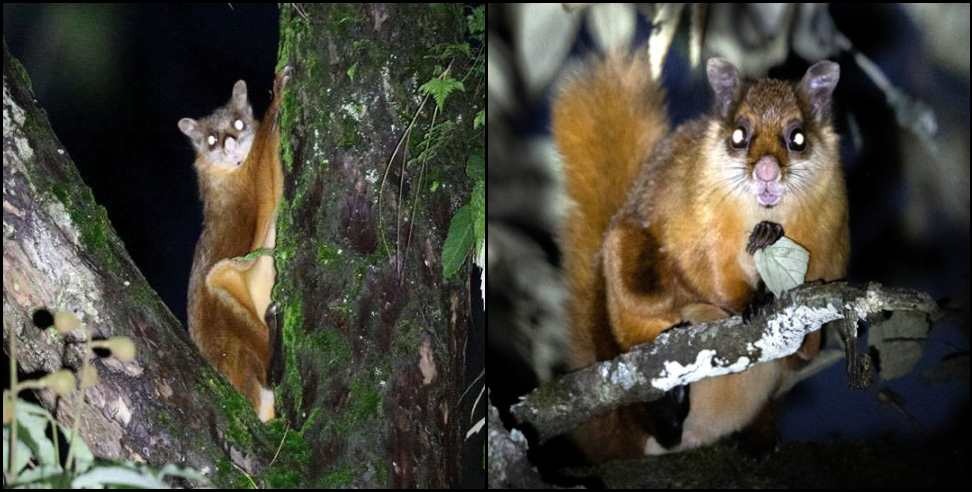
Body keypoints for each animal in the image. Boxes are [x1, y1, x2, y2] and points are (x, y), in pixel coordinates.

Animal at [179, 65, 292, 420]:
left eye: (238, 124)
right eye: (211, 140)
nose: (228, 144)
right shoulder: (247, 187)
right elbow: (264, 168)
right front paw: (279, 95)